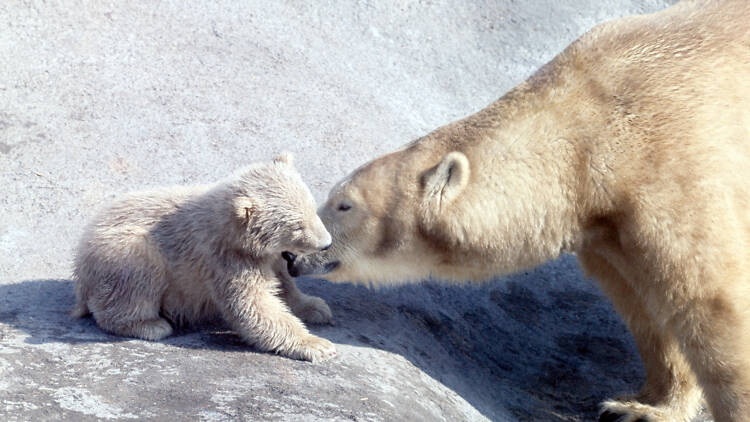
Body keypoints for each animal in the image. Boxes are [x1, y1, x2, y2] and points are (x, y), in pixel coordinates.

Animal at [290, 2, 750, 422]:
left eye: (344, 203)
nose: (293, 255)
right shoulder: (605, 225)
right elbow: (643, 305)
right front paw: (640, 406)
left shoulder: (670, 172)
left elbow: (712, 301)